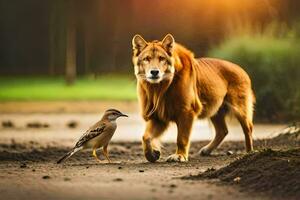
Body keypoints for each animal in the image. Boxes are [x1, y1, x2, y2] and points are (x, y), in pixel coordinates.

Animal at [132, 34, 254, 162]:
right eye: (147, 59)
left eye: (162, 58)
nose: (154, 72)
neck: (160, 88)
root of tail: (241, 69)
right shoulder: (158, 116)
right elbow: (146, 137)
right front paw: (153, 154)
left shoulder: (186, 111)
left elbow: (182, 138)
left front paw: (180, 156)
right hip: (215, 111)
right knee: (223, 131)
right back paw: (206, 150)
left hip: (240, 108)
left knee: (248, 129)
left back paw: (249, 153)